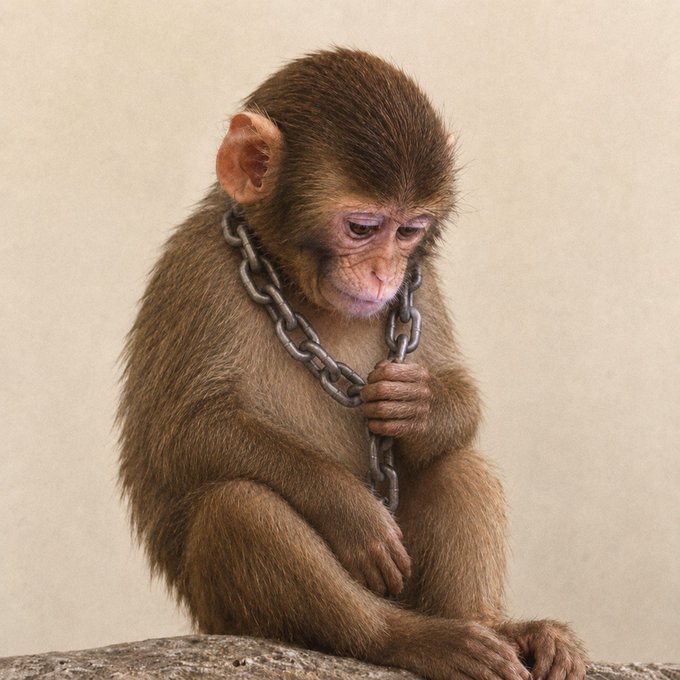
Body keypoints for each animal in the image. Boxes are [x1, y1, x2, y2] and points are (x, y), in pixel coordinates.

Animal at [118, 48, 586, 680]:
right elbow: (185, 433)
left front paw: (417, 405)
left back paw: (497, 627)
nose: (384, 274)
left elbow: (455, 395)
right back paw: (406, 639)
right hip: (223, 614)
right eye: (362, 228)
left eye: (409, 230)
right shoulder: (201, 266)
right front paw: (349, 510)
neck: (292, 284)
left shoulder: (420, 283)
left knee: (454, 462)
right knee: (237, 506)